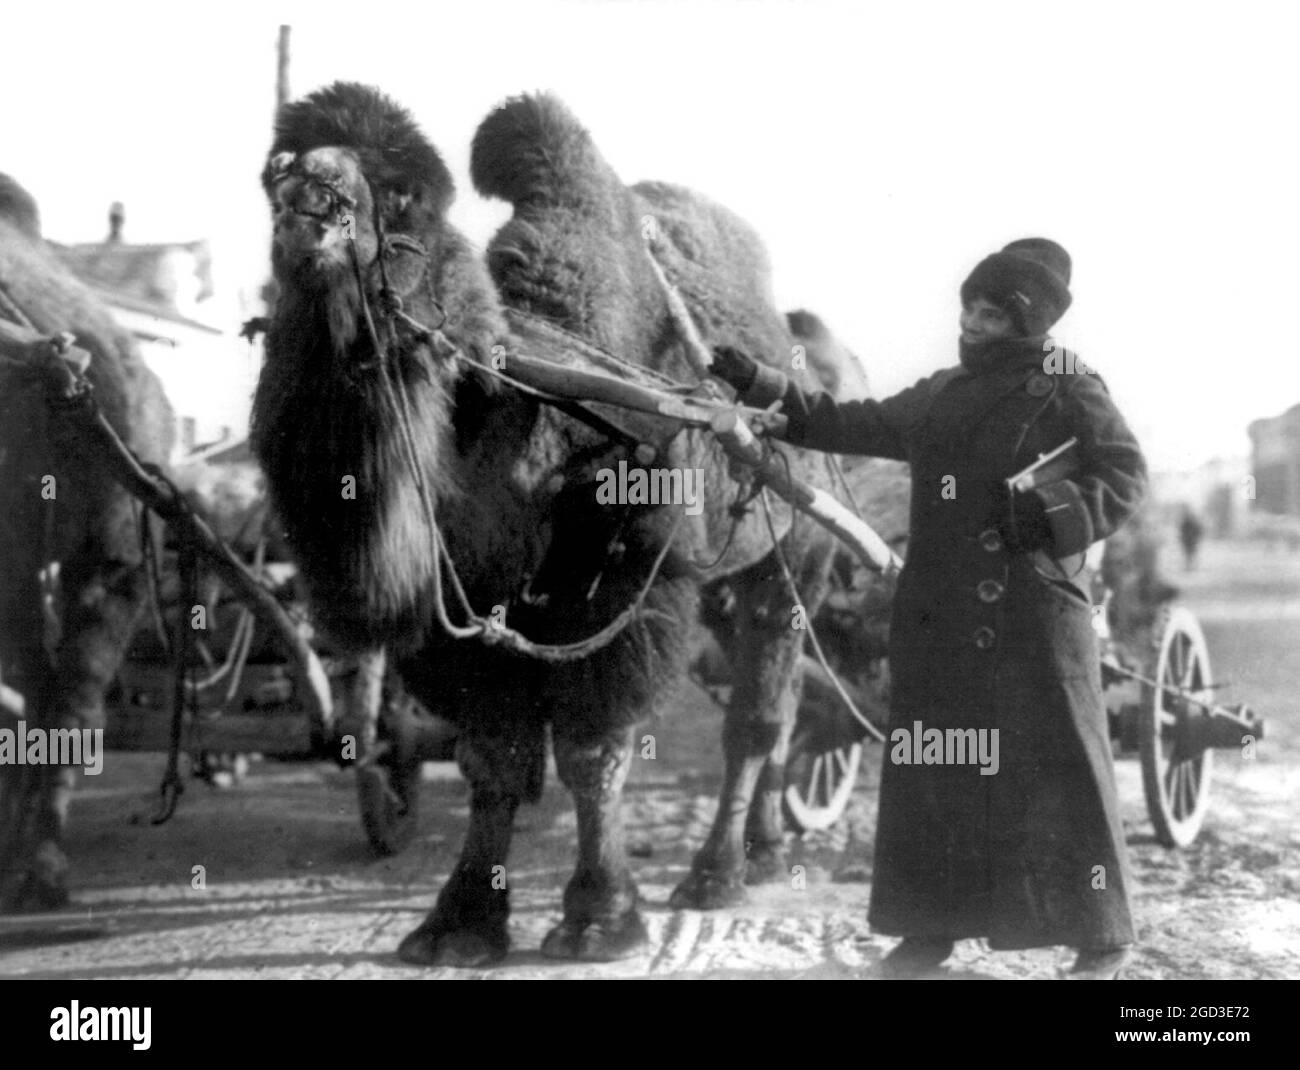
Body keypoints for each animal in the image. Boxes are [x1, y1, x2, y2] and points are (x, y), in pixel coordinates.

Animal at [254, 87, 842, 967]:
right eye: (274, 170)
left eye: (402, 195)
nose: (313, 186)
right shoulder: (462, 616)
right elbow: (492, 761)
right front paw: (458, 924)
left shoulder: (627, 591)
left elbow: (592, 753)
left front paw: (600, 919)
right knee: (785, 707)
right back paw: (767, 851)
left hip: (791, 557)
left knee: (757, 716)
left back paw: (717, 876)